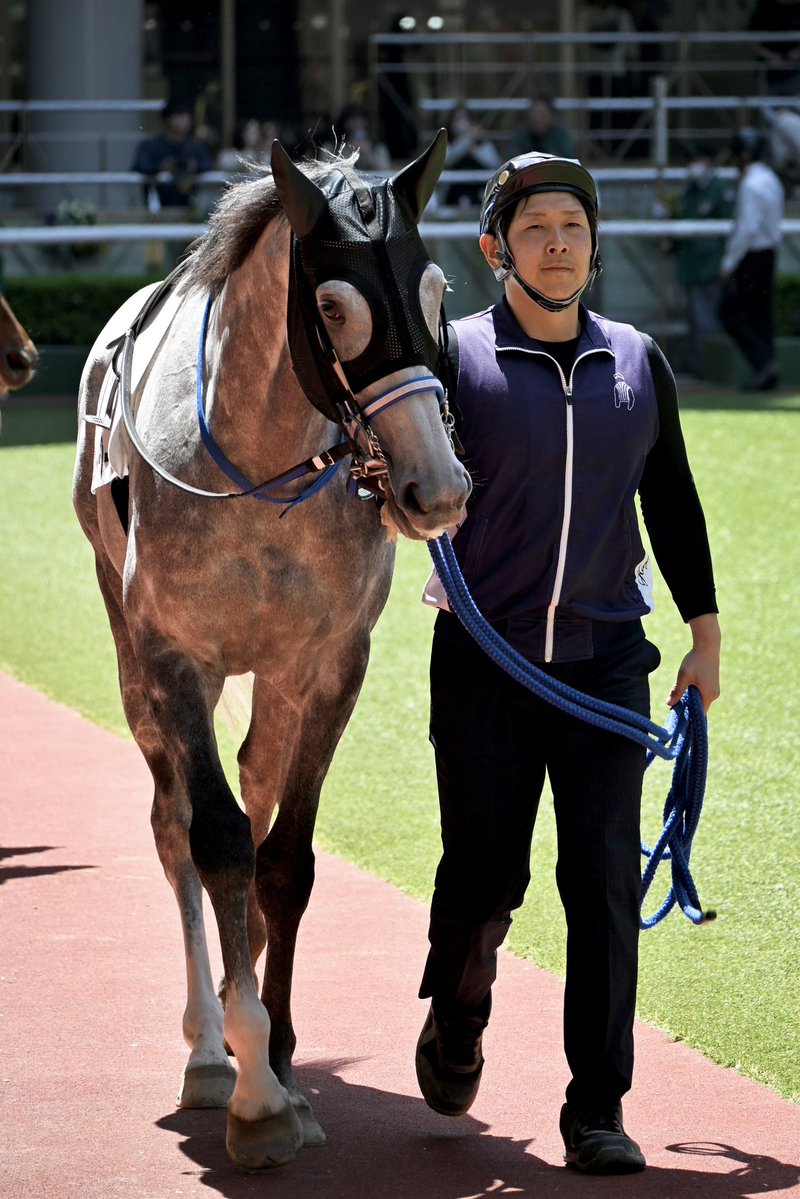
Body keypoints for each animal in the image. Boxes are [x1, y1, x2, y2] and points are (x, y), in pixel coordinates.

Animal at [72, 133, 471, 1169]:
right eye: (332, 307)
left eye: (438, 290)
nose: (438, 488)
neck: (258, 470)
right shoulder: (173, 656)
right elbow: (213, 842)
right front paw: (253, 1090)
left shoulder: (331, 663)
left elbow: (284, 860)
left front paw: (283, 1061)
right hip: (137, 660)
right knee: (178, 826)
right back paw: (211, 1048)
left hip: (274, 677)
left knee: (254, 789)